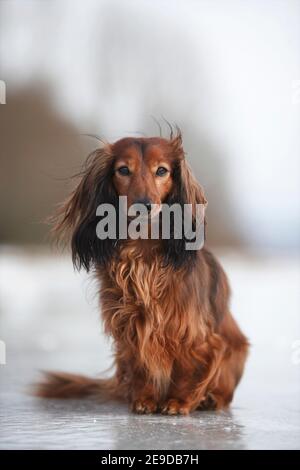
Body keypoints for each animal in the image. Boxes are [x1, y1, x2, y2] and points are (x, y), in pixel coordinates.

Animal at [37, 130, 248, 414]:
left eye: (162, 171)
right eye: (123, 170)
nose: (144, 205)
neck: (143, 251)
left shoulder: (193, 332)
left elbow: (189, 367)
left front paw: (179, 401)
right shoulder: (130, 327)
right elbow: (140, 364)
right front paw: (145, 399)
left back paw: (208, 399)